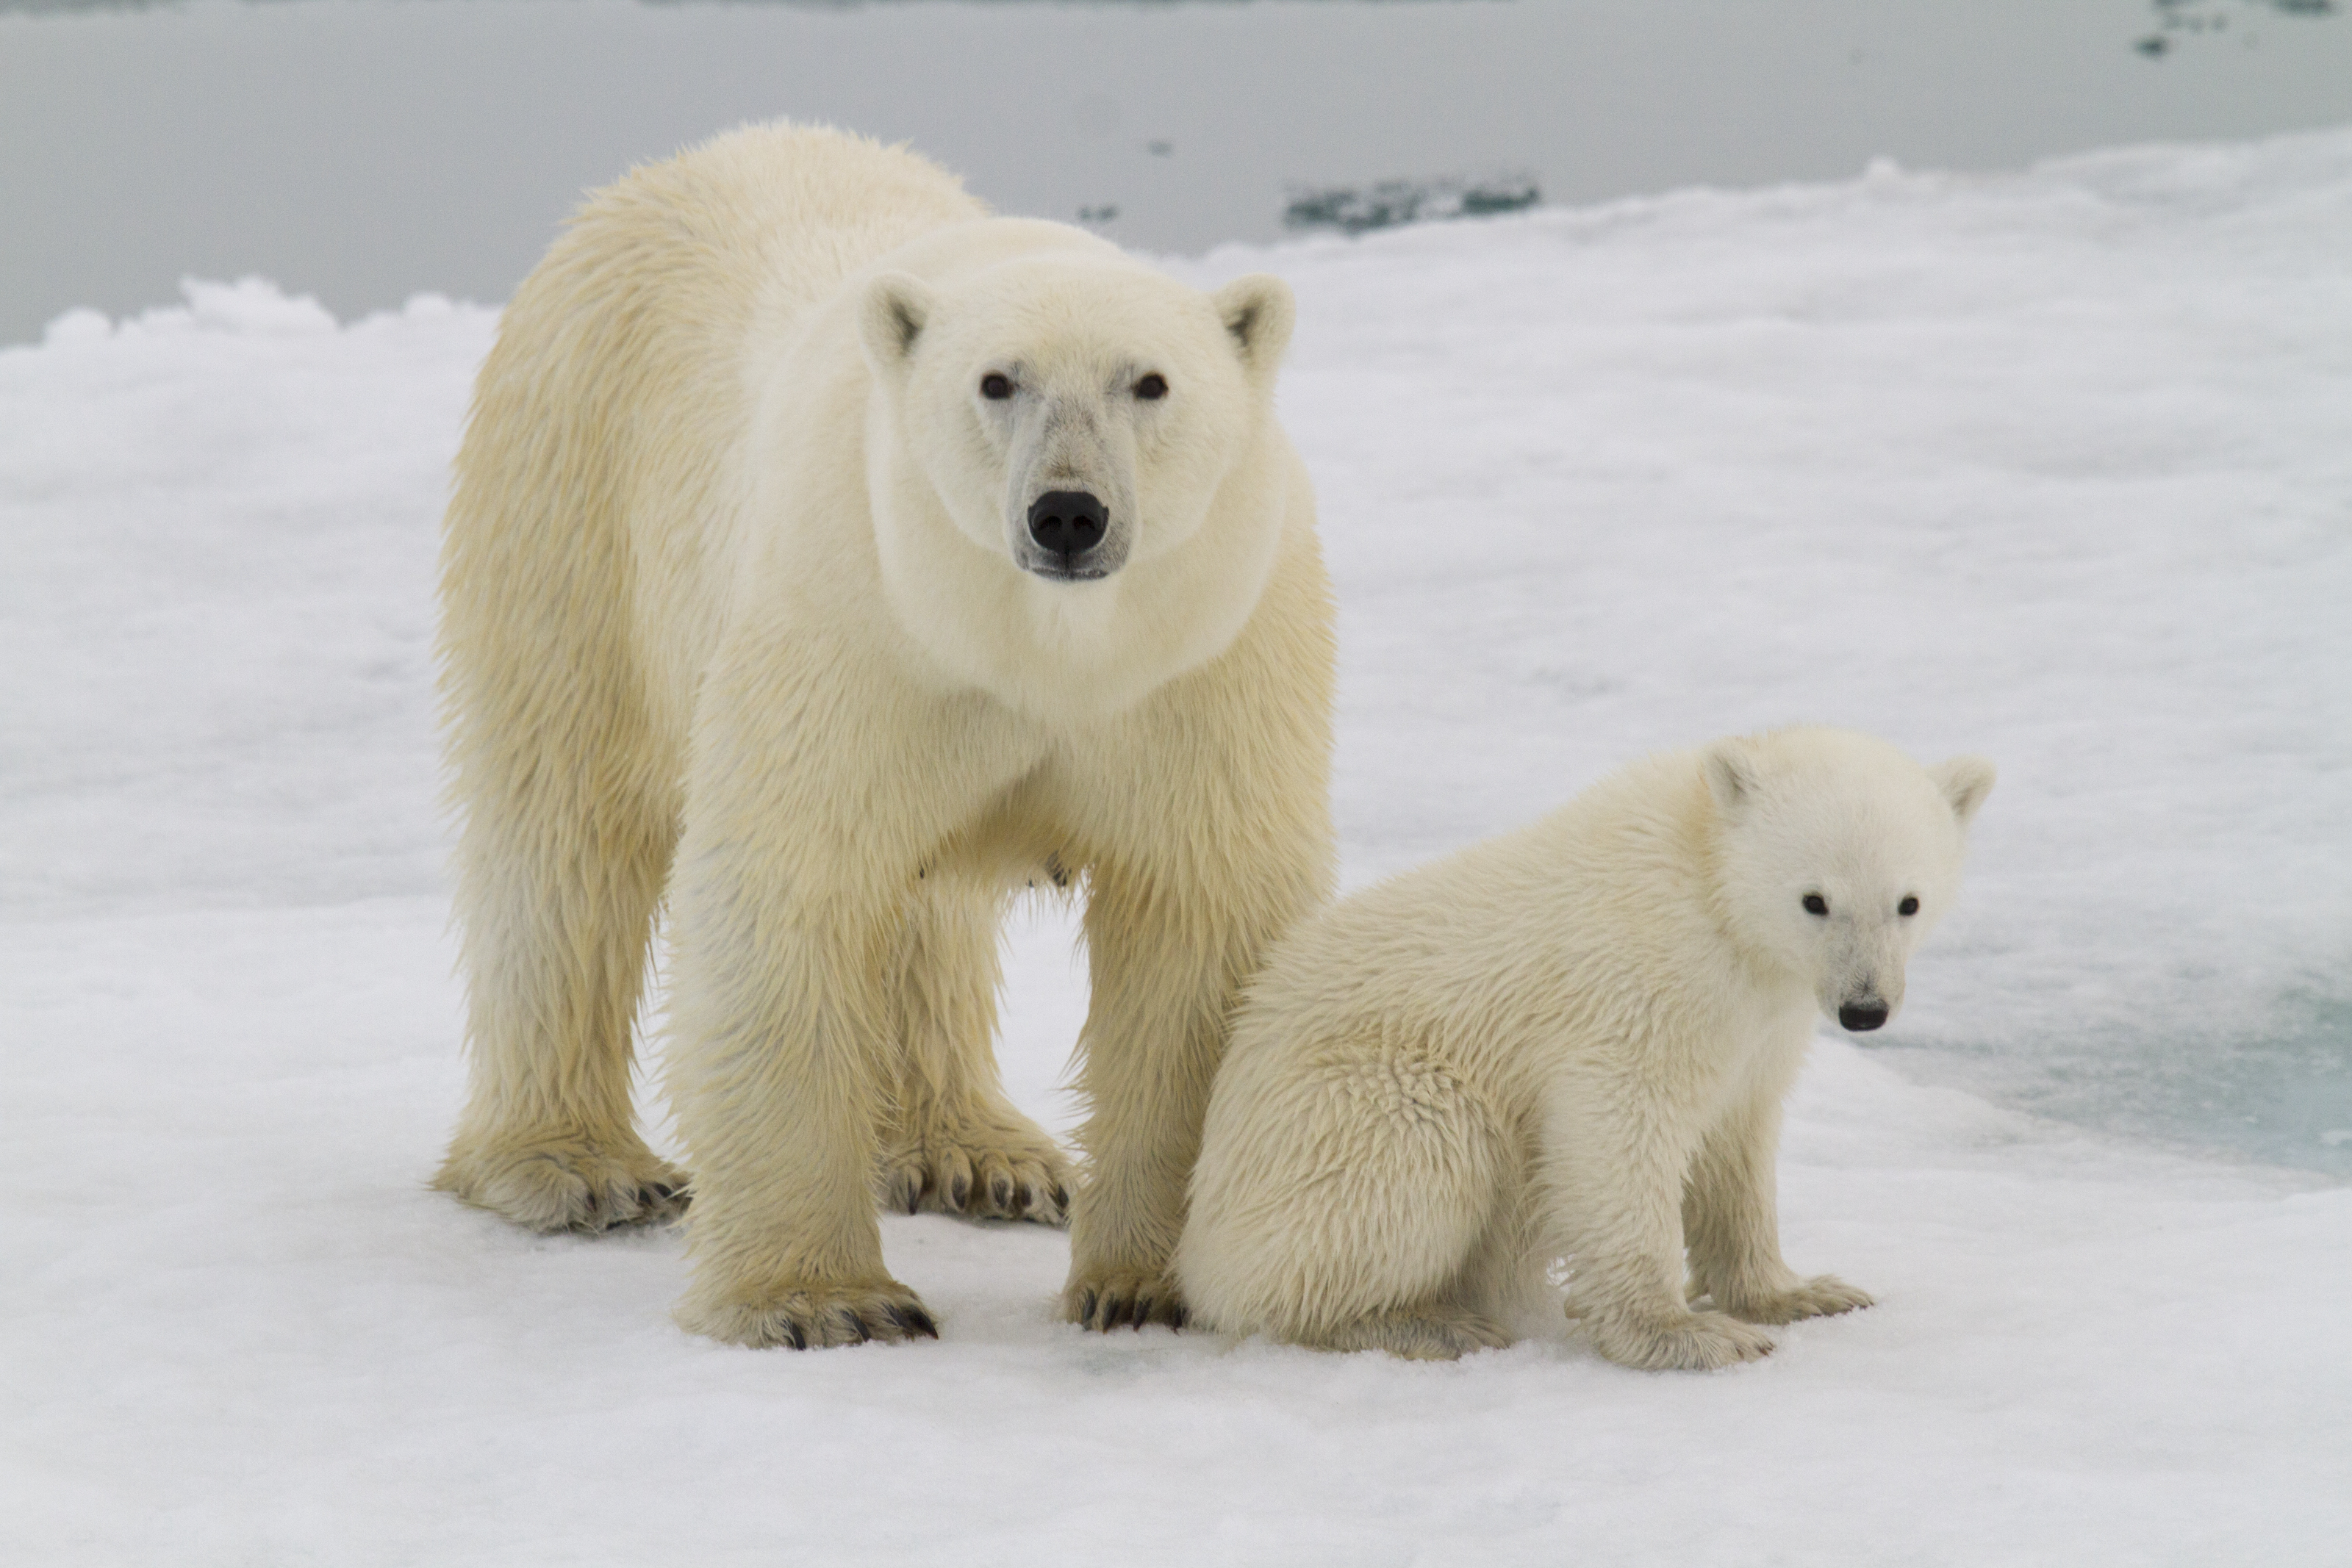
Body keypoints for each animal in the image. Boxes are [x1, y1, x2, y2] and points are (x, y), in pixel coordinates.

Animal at [430, 123, 1336, 1349]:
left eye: (1150, 380)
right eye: (996, 380)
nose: (1067, 512)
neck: (1034, 647)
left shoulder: (1208, 663)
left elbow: (1200, 922)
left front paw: (1148, 1284)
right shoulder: (854, 627)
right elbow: (790, 887)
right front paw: (824, 1301)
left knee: (921, 916)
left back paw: (981, 1154)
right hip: (570, 499)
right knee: (563, 829)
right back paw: (576, 1167)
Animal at [1175, 727, 1994, 1368]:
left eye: (1908, 901)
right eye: (1814, 899)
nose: (1864, 1009)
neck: (1707, 882)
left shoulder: (1762, 1024)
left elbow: (1737, 1143)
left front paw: (1803, 1292)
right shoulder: (1638, 984)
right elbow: (1617, 1131)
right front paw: (1682, 1334)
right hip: (1339, 1108)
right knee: (1421, 1153)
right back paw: (1421, 1322)